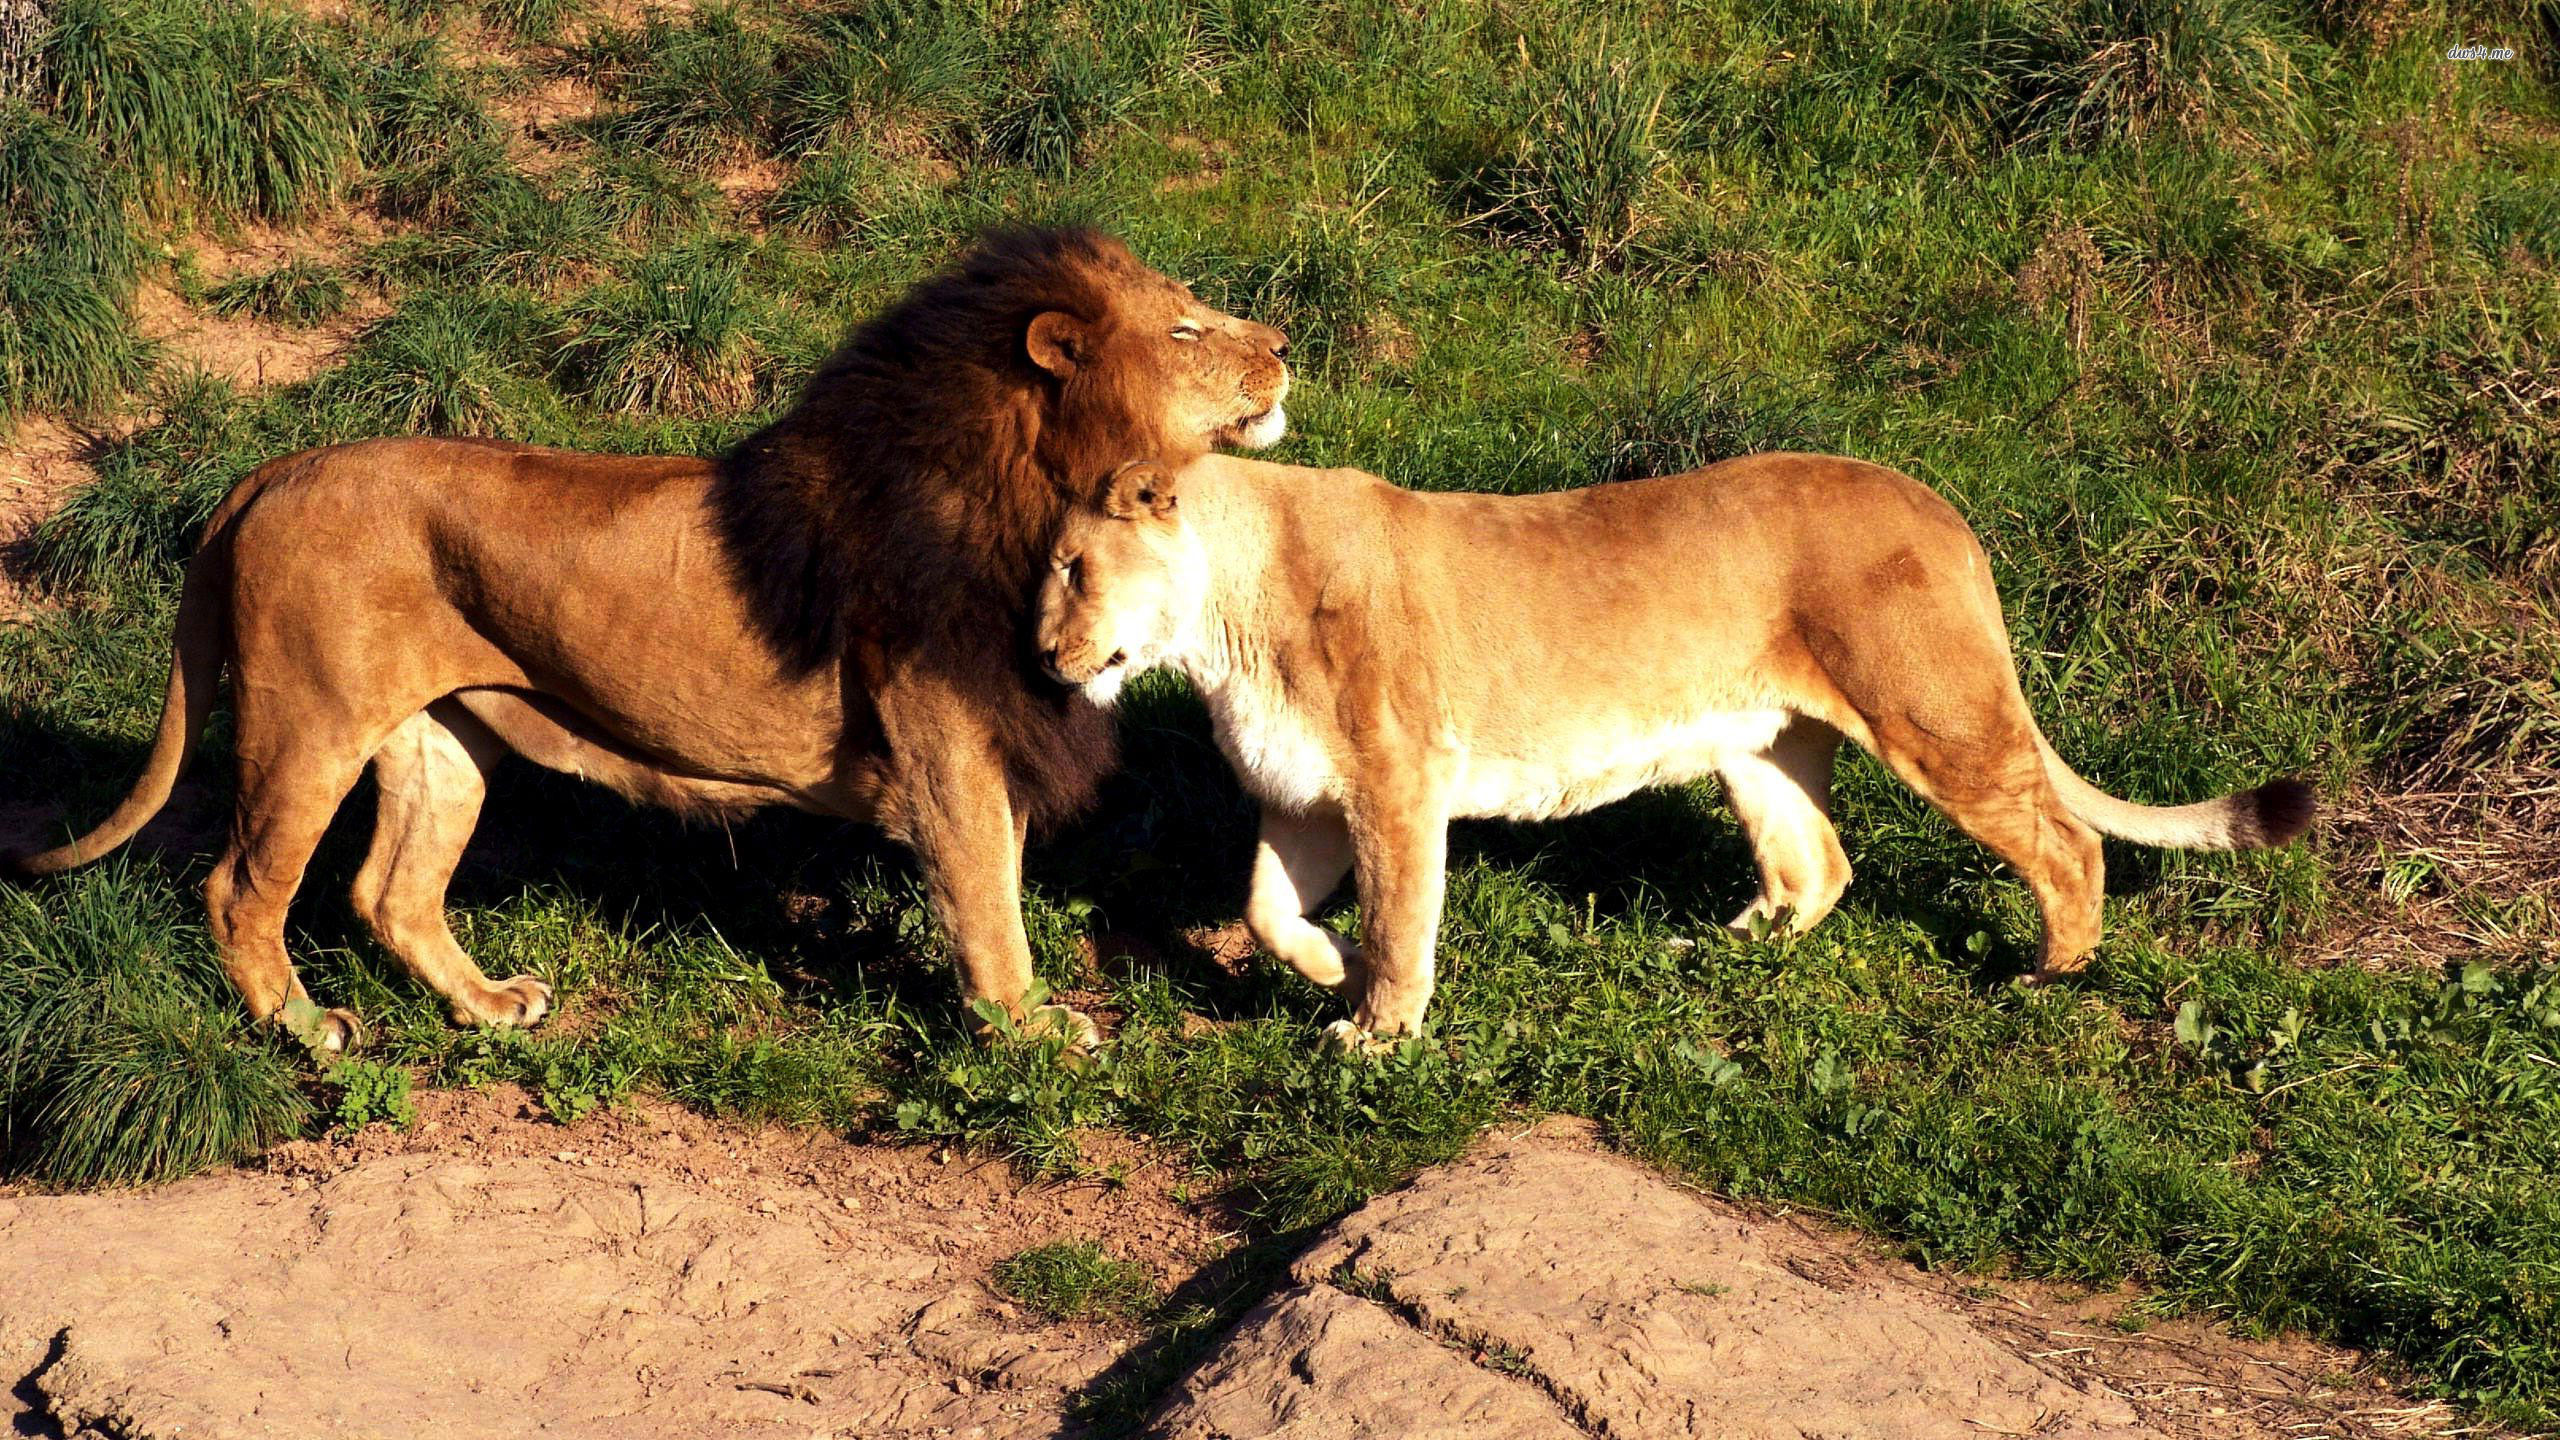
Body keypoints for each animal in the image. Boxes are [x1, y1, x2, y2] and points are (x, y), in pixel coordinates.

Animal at [12, 228, 1291, 1052]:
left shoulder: (994, 738)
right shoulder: (950, 754)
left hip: (440, 736)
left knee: (390, 891)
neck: (1049, 496)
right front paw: (1027, 1035)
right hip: (306, 725)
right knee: (239, 888)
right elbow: (989, 908)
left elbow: (1003, 888)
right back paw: (305, 1028)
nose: (1281, 343)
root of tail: (273, 471)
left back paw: (490, 1007)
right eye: (1185, 327)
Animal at [1035, 454, 2314, 1045]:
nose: (1044, 656)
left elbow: (1402, 922)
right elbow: (1265, 912)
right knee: (1819, 864)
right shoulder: (1304, 796)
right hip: (1757, 745)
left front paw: (1377, 1032)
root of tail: (1939, 508)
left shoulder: (1399, 785)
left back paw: (2050, 974)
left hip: (1932, 713)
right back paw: (1720, 952)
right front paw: (1333, 973)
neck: (1221, 626)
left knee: (2060, 842)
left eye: (1072, 568)